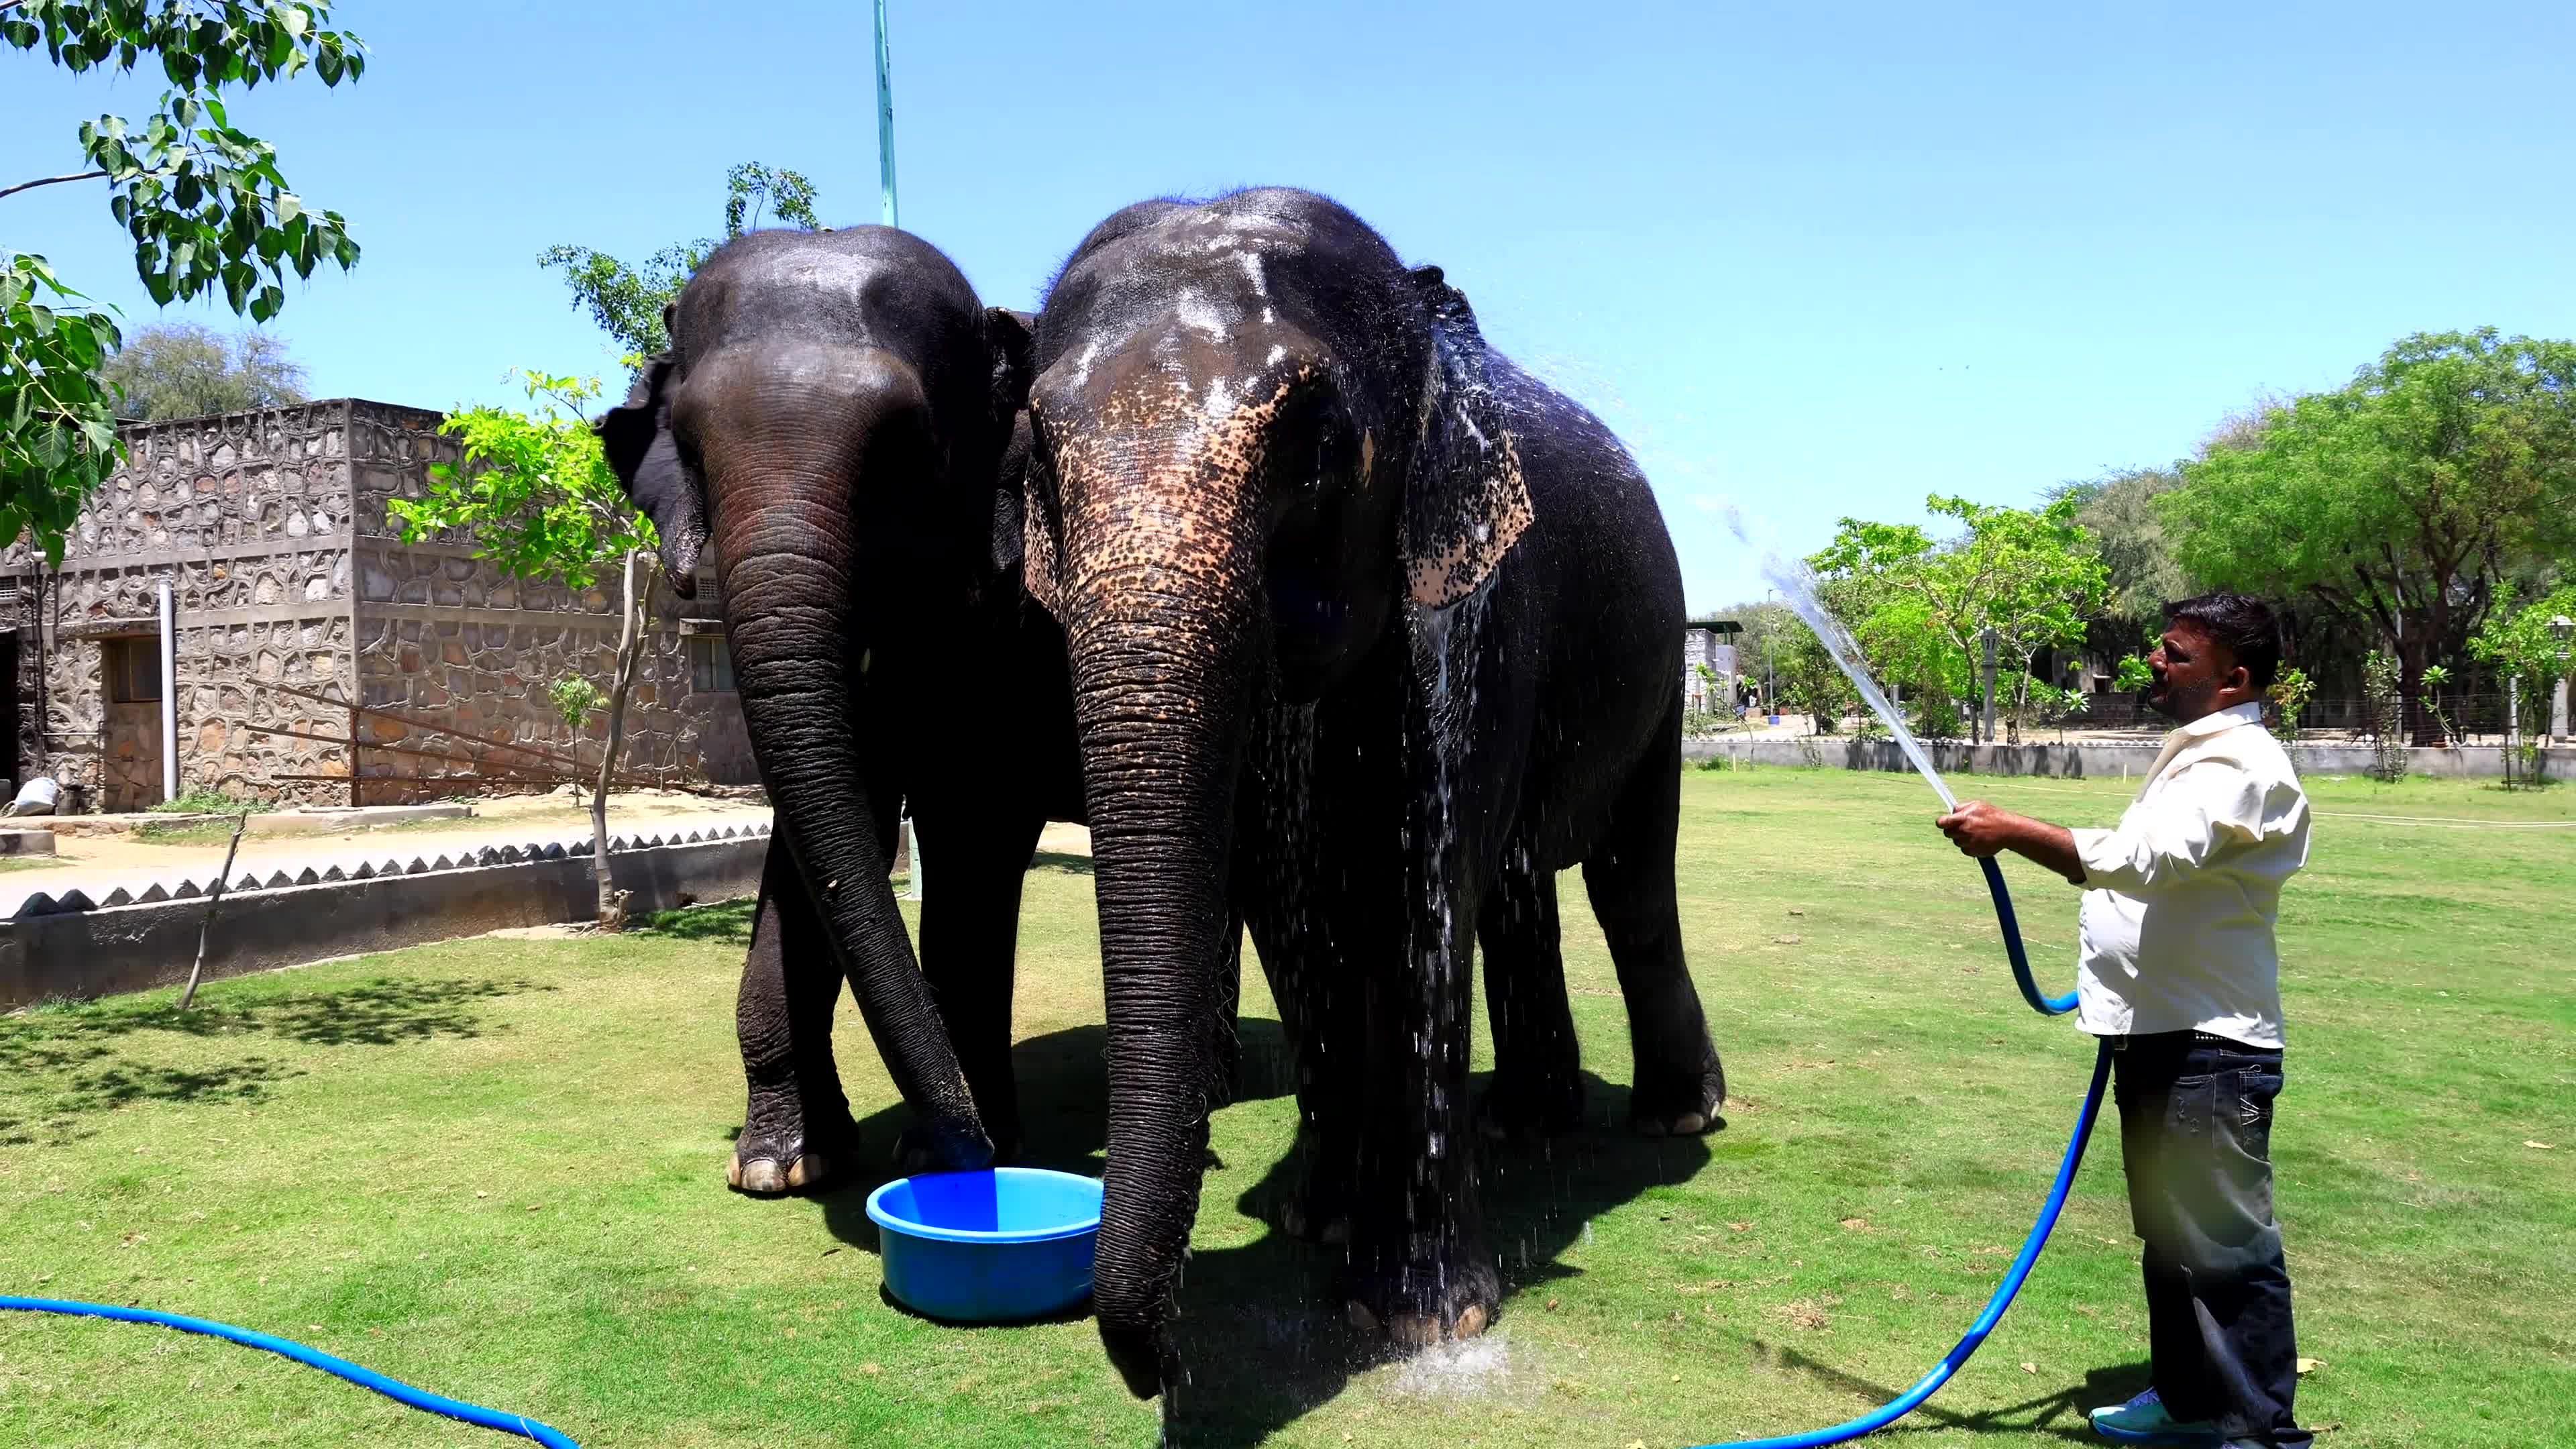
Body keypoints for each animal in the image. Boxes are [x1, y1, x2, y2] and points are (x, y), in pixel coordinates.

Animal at [596, 225, 1093, 1189]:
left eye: (905, 449)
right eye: (688, 446)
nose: (965, 1143)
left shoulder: (1010, 626)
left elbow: (969, 828)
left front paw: (956, 1152)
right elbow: (831, 816)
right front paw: (781, 1166)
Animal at [1020, 187, 1725, 1396]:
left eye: (1313, 448)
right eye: (1038, 456)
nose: (1159, 1368)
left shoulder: (1475, 607)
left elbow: (1409, 899)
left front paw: (1419, 1316)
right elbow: (1288, 908)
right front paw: (1318, 1220)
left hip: (1662, 662)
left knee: (1630, 883)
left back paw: (1677, 1120)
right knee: (1519, 891)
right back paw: (1526, 1126)